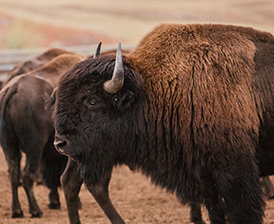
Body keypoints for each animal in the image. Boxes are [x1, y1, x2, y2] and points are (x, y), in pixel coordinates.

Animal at [0, 50, 85, 218]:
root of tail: (13, 88)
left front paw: (54, 202)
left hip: (9, 146)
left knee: (13, 174)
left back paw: (17, 211)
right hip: (34, 147)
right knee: (27, 175)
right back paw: (35, 210)